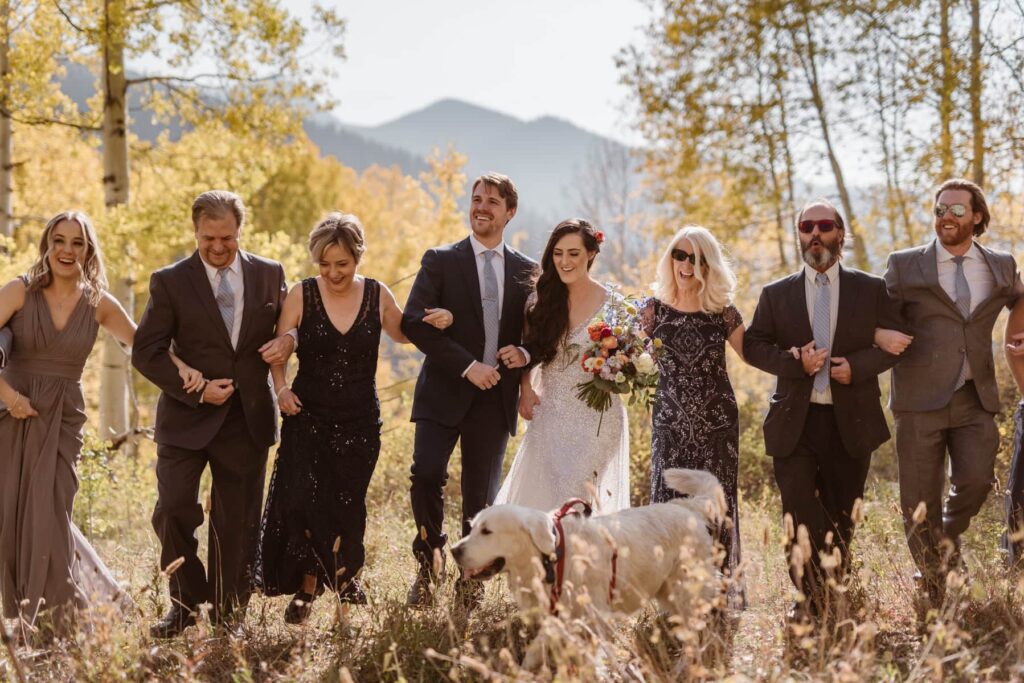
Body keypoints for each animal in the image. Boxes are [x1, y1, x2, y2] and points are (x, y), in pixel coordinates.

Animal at [450, 471, 729, 618]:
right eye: (472, 527)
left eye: (487, 532)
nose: (454, 550)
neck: (553, 557)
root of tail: (687, 507)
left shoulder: (595, 617)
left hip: (687, 587)